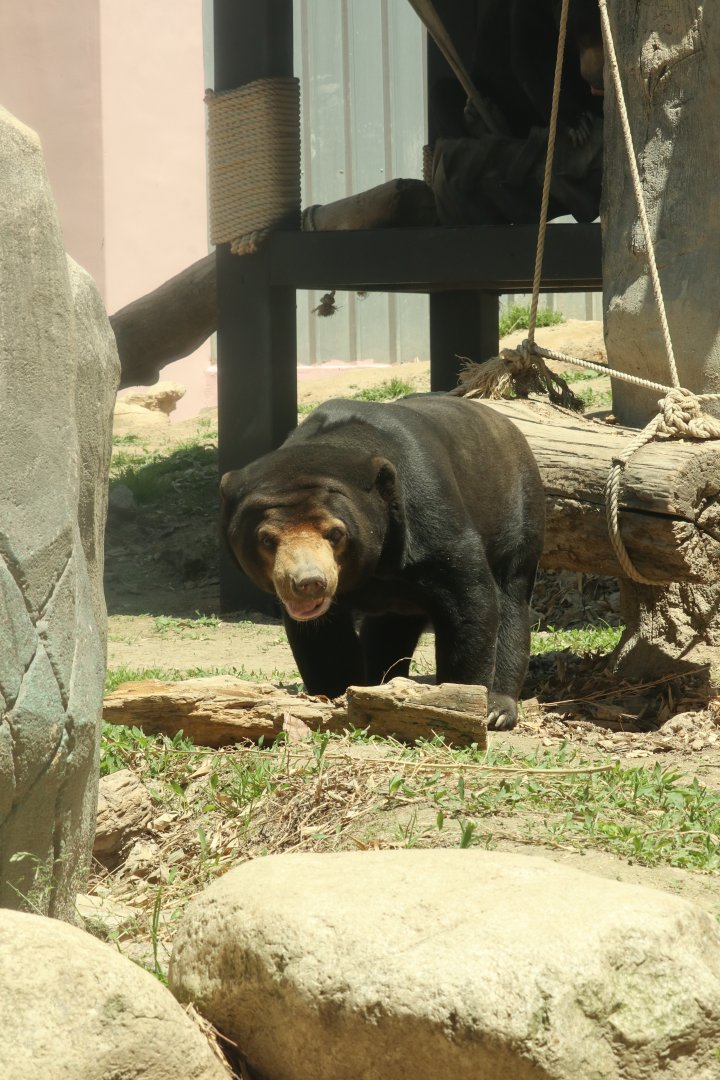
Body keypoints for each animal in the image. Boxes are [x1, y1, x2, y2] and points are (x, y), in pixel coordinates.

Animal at [221, 395, 545, 730]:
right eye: (267, 539)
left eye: (335, 533)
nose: (309, 583)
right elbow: (323, 638)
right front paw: (337, 696)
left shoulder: (430, 520)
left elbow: (469, 604)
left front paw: (463, 702)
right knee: (389, 628)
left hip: (518, 517)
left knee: (511, 600)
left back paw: (499, 708)